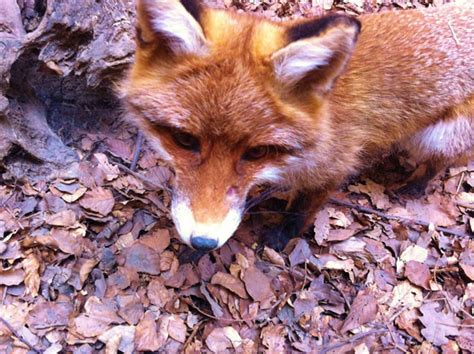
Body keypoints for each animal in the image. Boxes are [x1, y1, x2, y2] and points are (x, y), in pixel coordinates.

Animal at [121, 0, 474, 250]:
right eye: (184, 139)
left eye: (257, 152)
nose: (203, 242)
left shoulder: (334, 166)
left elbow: (301, 209)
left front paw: (281, 235)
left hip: (438, 137)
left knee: (440, 162)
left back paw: (414, 185)